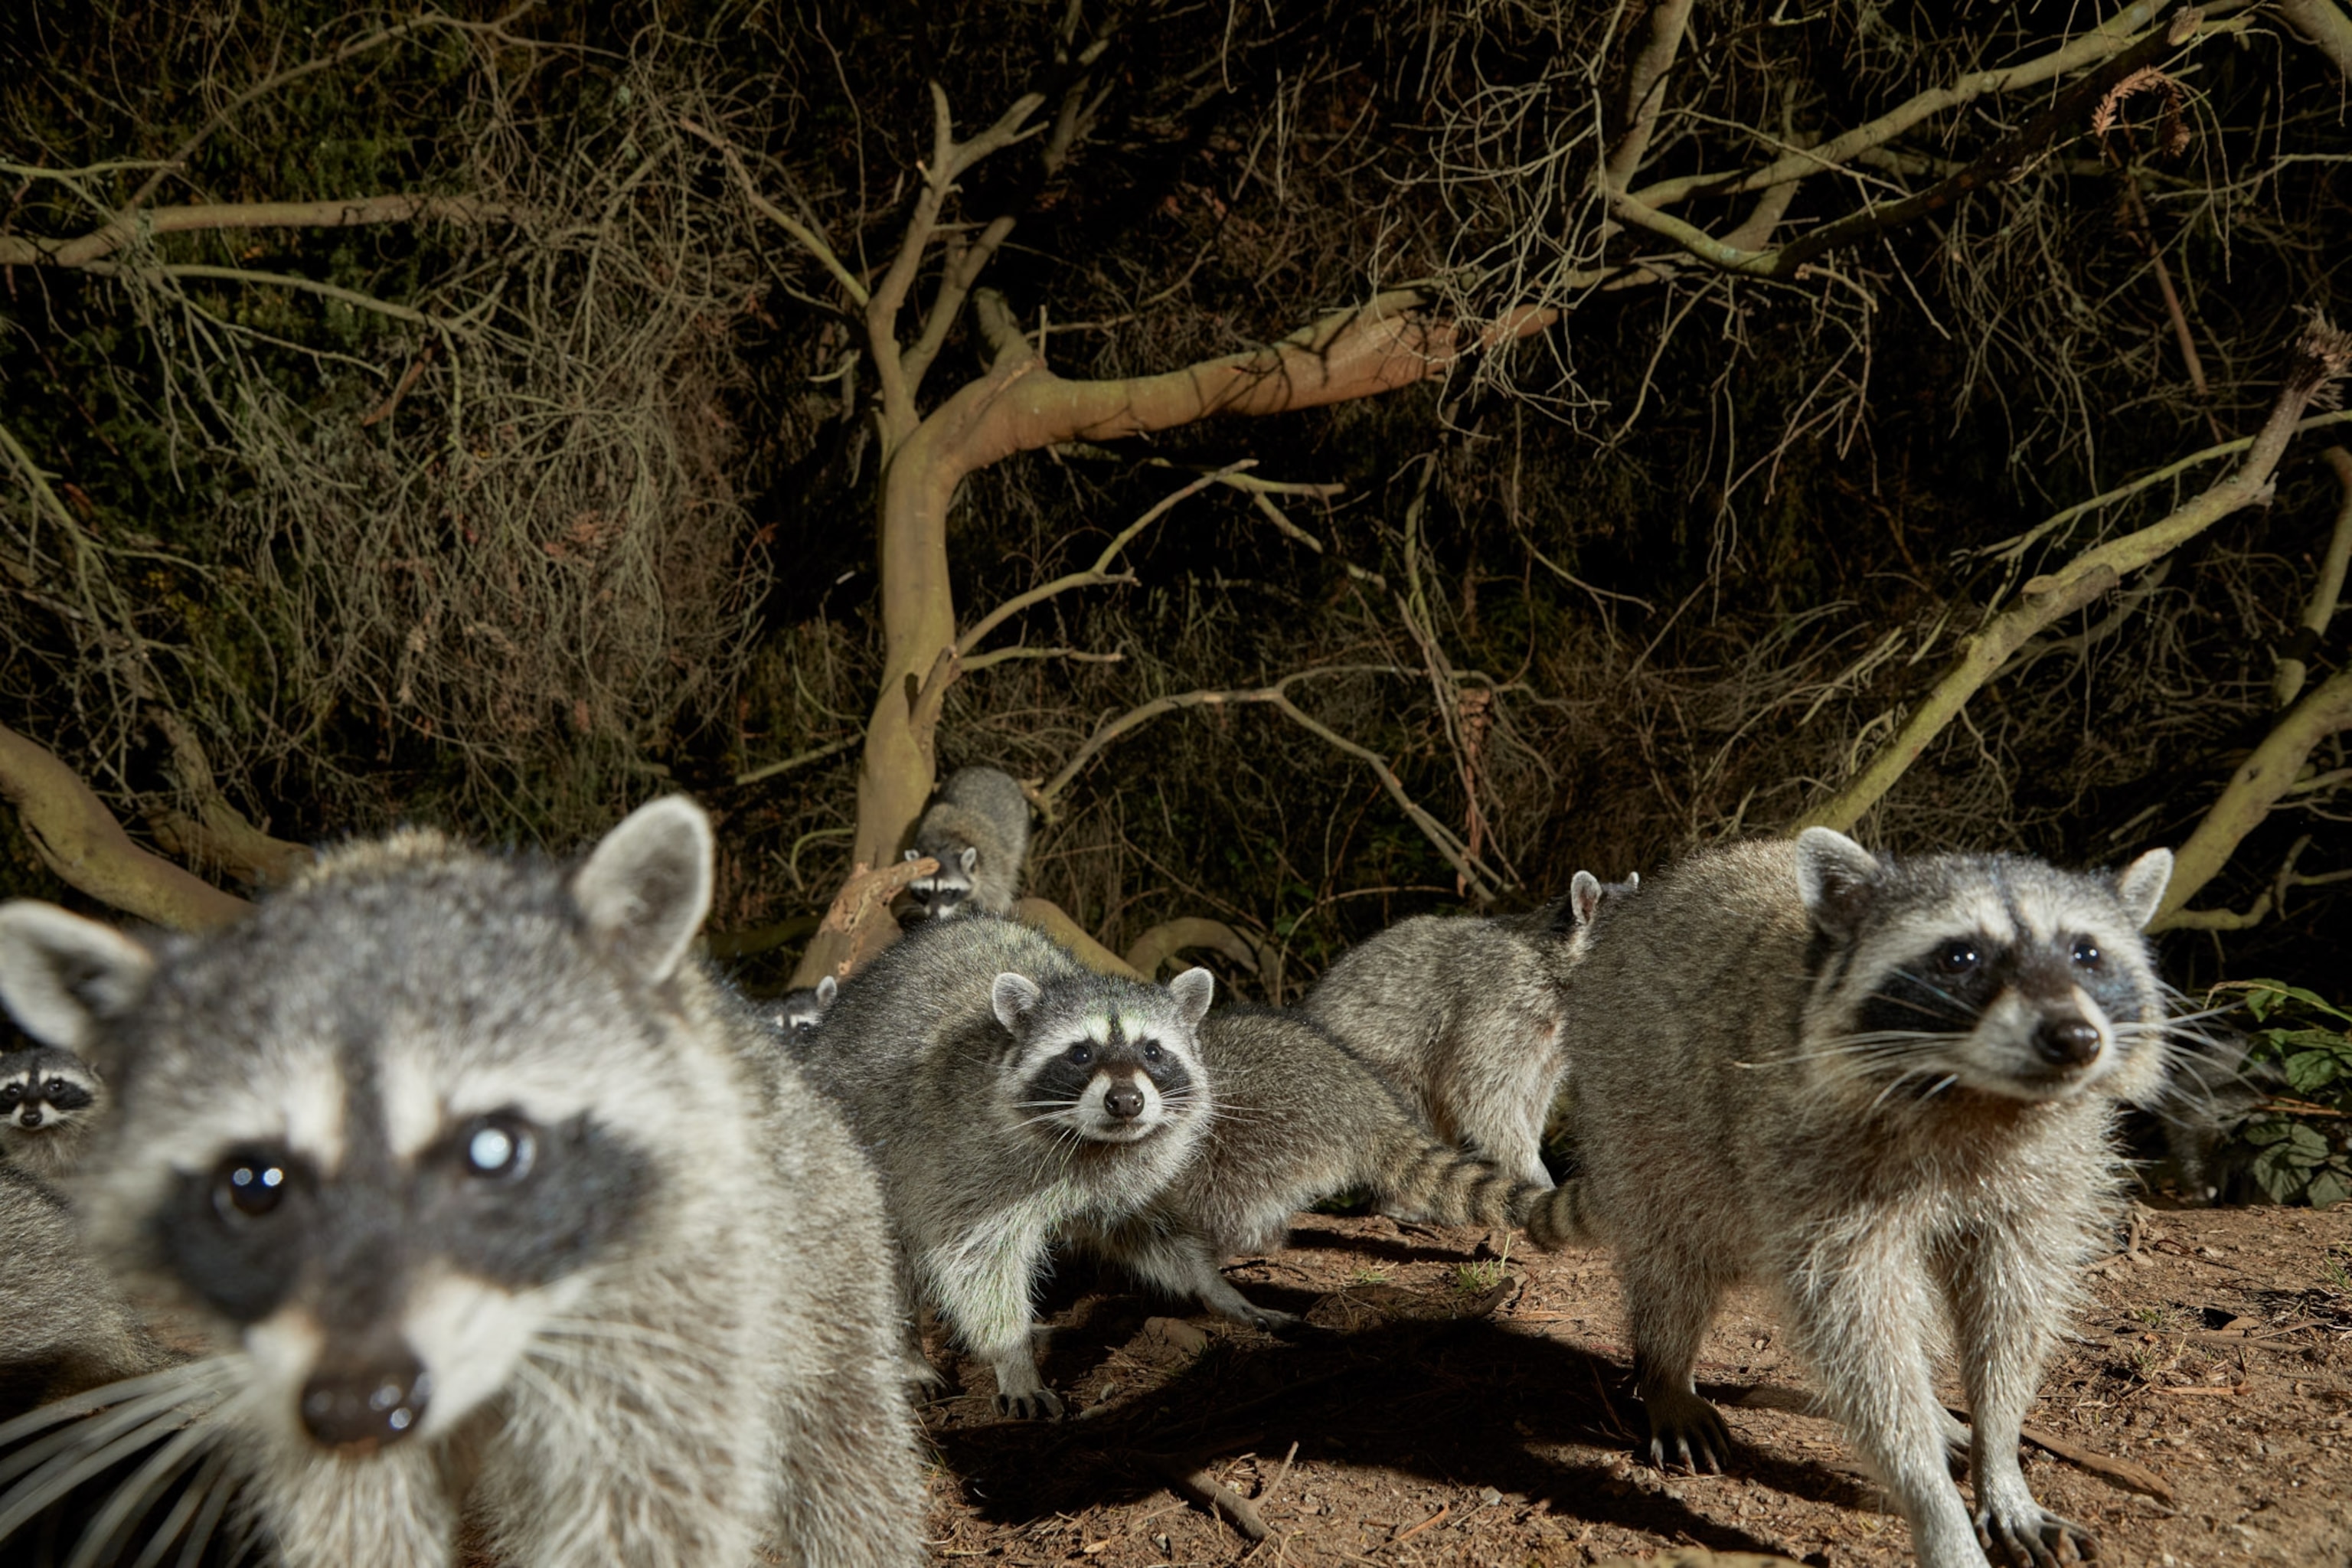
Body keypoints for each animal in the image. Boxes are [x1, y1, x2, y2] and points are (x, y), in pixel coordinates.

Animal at [797, 916, 1213, 1420]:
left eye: (1152, 1051)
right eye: (1081, 1053)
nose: (1126, 1101)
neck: (1092, 1144)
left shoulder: (1128, 1174)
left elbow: (1145, 1227)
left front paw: (1215, 1287)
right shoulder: (962, 1162)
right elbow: (976, 1260)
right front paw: (1013, 1359)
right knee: (885, 1261)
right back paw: (906, 1355)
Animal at [901, 766, 1031, 920]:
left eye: (948, 892)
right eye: (924, 892)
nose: (934, 916)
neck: (943, 843)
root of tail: (988, 769)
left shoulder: (992, 866)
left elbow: (996, 894)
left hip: (1019, 825)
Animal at [1520, 829, 2173, 1568]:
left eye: (2087, 953)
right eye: (1960, 956)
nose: (2073, 1038)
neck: (1979, 1098)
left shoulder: (2044, 1171)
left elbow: (2013, 1306)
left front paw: (1999, 1450)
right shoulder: (1813, 1156)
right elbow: (1861, 1334)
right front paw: (1933, 1504)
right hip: (1634, 1097)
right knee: (1672, 1250)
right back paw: (1666, 1369)